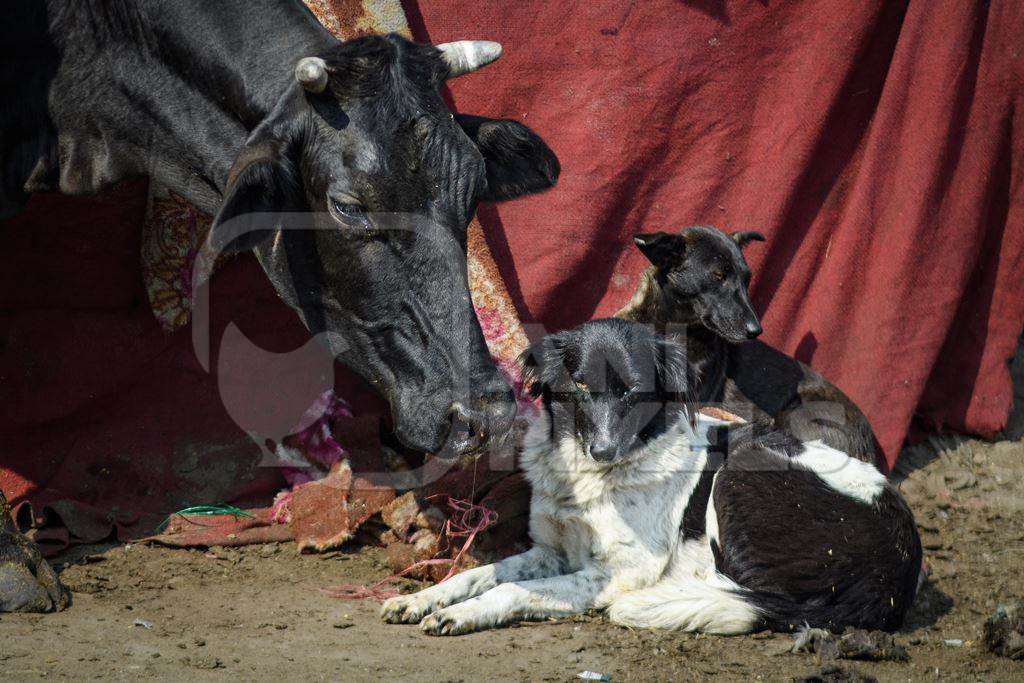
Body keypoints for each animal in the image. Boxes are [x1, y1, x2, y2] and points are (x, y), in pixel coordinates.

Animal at [380, 321, 925, 634]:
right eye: (581, 385)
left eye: (633, 391)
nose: (603, 450)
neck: (587, 478)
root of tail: (896, 572)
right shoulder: (553, 550)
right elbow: (478, 573)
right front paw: (420, 598)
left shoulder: (623, 571)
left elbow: (510, 590)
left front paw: (462, 613)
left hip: (742, 470)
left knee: (748, 592)